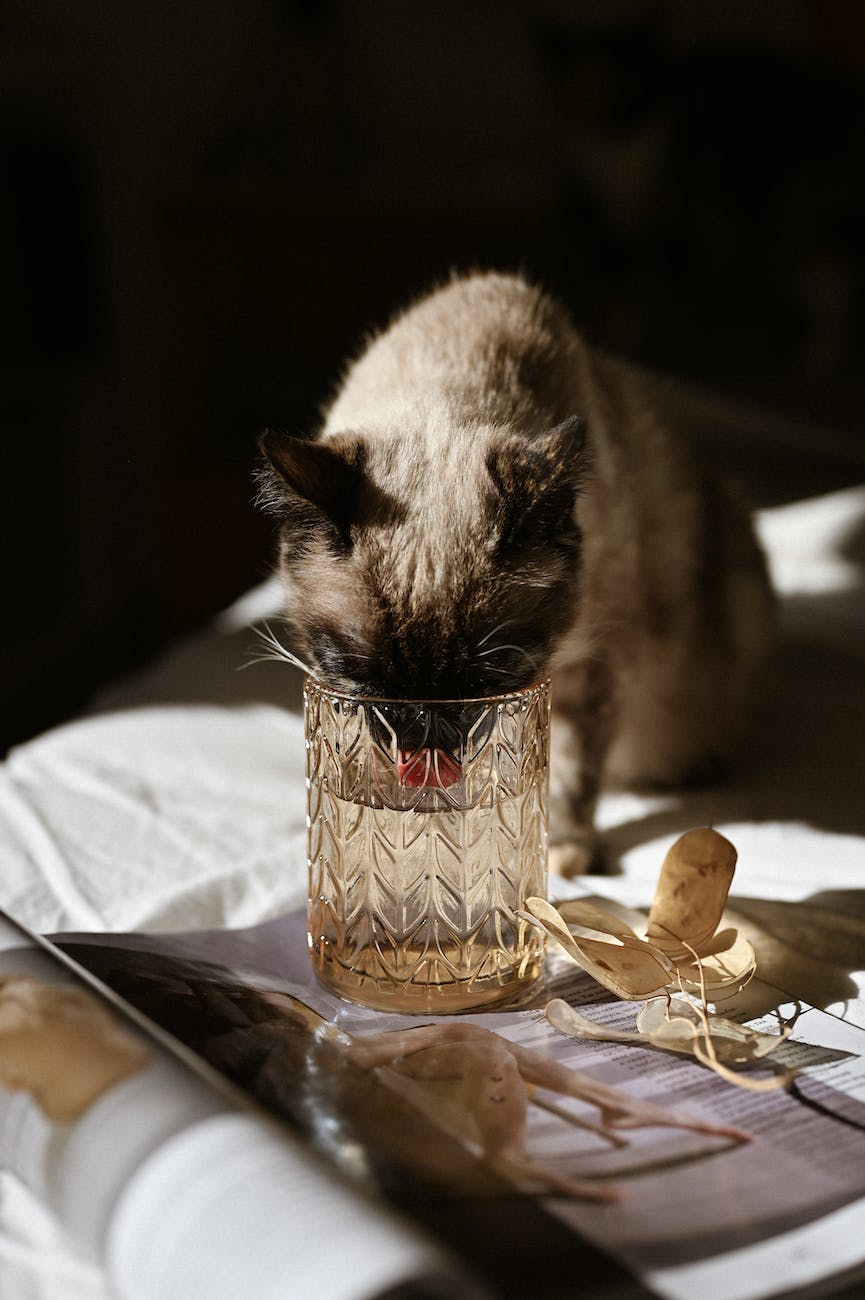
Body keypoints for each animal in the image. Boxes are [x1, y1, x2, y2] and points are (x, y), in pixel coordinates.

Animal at [254, 271, 770, 873]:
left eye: (485, 684)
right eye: (363, 680)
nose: (422, 749)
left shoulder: (597, 664)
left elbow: (571, 772)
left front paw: (567, 853)